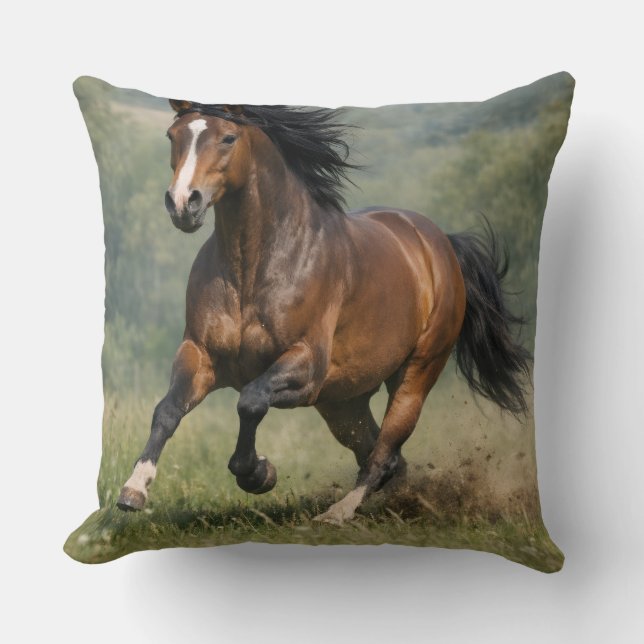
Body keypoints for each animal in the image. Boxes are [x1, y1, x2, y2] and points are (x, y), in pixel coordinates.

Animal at [116, 101, 531, 525]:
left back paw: (337, 513)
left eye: (228, 137)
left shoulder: (306, 366)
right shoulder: (201, 354)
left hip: (415, 374)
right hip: (343, 402)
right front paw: (134, 490)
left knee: (383, 454)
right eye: (173, 136)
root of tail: (440, 244)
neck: (255, 266)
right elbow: (167, 410)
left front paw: (259, 473)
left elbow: (250, 401)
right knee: (382, 454)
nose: (184, 203)